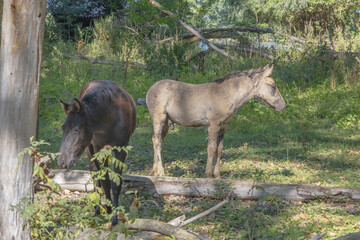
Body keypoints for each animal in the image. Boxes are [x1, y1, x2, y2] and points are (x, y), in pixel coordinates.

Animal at [57, 80, 136, 225]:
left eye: (76, 130)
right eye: (63, 128)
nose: (62, 161)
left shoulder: (121, 150)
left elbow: (116, 183)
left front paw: (114, 216)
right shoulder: (98, 148)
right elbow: (105, 180)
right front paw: (109, 210)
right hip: (91, 149)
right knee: (95, 173)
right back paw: (98, 209)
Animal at [146, 64, 284, 178]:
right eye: (273, 85)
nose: (283, 105)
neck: (227, 94)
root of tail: (149, 90)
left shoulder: (224, 126)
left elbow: (219, 149)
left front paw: (217, 175)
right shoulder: (213, 125)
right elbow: (211, 148)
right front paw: (208, 174)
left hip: (166, 123)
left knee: (158, 140)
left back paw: (155, 170)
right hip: (159, 118)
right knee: (157, 141)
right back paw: (160, 172)